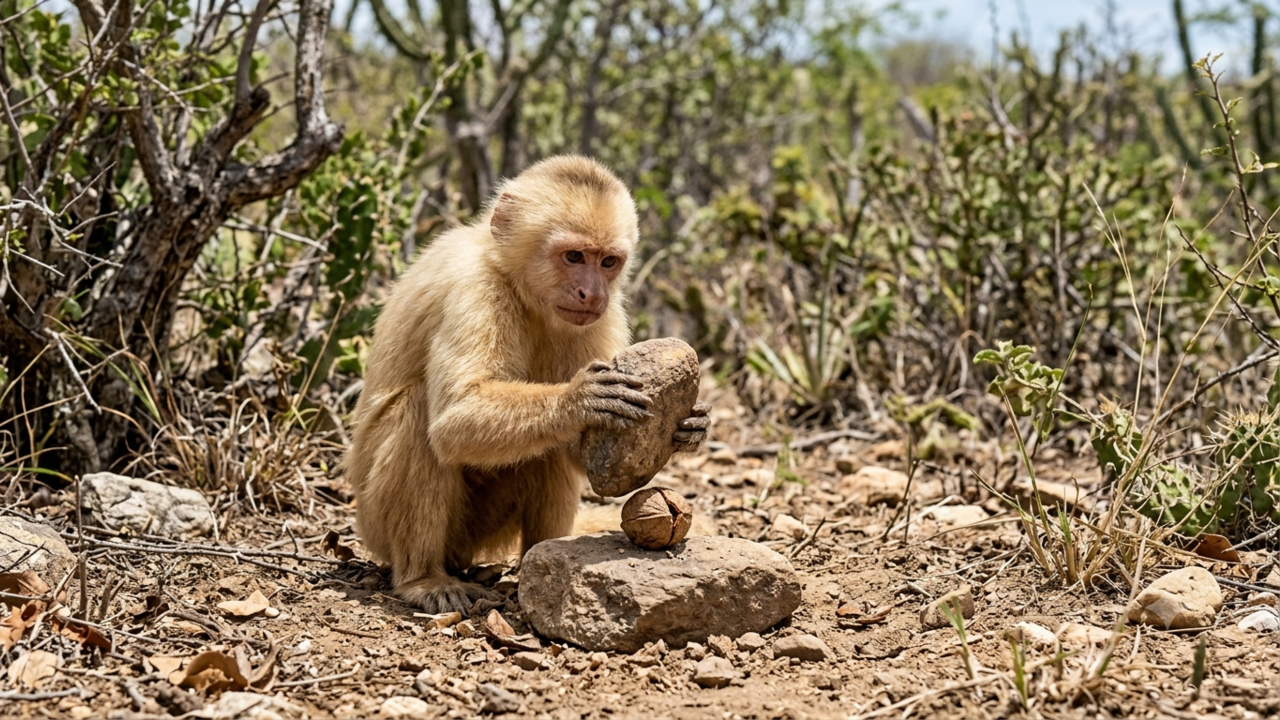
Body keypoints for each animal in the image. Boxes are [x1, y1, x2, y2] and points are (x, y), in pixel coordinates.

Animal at [346, 156, 711, 614]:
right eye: (573, 256)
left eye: (608, 262)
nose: (591, 293)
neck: (517, 283)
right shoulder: (476, 288)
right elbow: (451, 420)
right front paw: (578, 400)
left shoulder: (604, 314)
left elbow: (585, 452)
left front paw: (689, 428)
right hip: (375, 522)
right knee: (419, 414)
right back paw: (423, 578)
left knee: (546, 449)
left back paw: (542, 562)